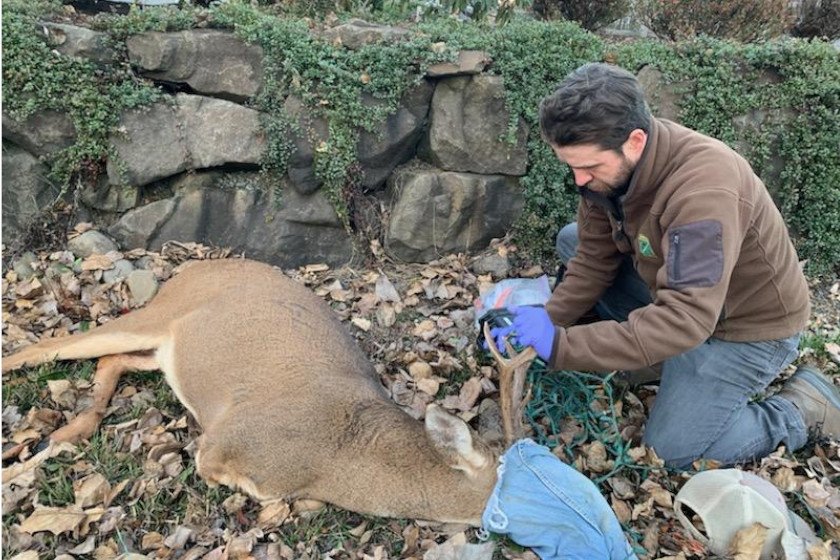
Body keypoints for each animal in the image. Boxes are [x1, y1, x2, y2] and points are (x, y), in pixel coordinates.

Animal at [1, 258, 532, 524]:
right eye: (523, 476)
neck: (341, 457)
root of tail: (191, 266)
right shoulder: (222, 446)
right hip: (154, 315)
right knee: (43, 349)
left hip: (163, 348)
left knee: (112, 361)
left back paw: (64, 434)